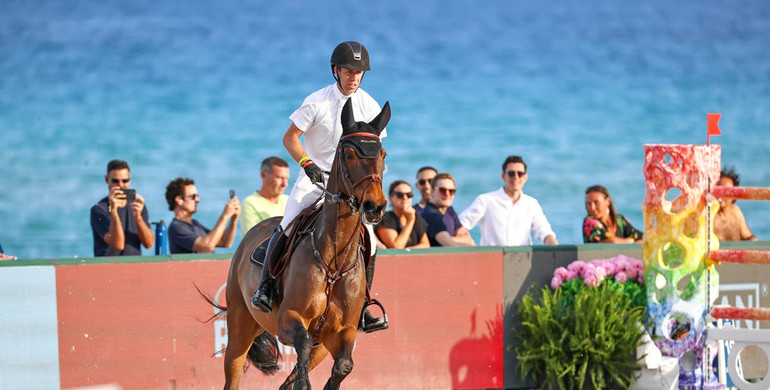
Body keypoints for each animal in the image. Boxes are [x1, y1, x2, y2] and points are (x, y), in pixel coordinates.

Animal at [222, 98, 390, 390]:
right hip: (240, 324)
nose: (375, 206)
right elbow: (302, 346)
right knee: (233, 370)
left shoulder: (342, 332)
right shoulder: (289, 318)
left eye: (383, 155)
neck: (334, 262)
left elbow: (343, 366)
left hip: (321, 346)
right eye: (349, 154)